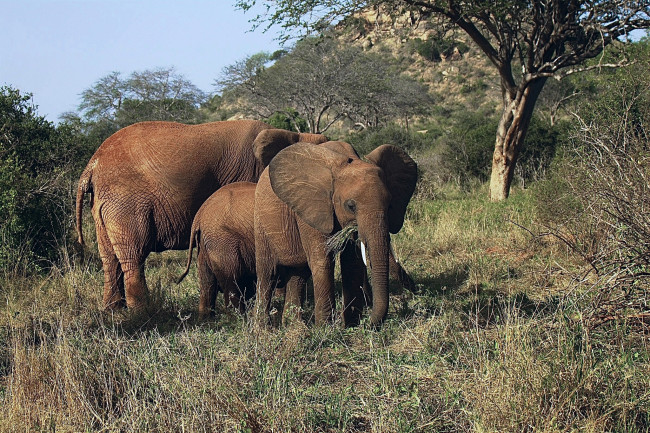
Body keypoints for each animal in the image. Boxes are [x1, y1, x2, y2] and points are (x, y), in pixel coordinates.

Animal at [76, 120, 326, 310]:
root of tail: (93, 165)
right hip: (125, 202)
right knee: (132, 255)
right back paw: (143, 312)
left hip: (104, 204)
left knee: (109, 257)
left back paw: (114, 310)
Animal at [253, 142, 416, 328]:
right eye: (351, 206)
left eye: (390, 205)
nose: (369, 323)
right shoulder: (313, 210)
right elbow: (322, 261)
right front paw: (325, 328)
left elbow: (352, 262)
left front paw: (351, 325)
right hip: (261, 224)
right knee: (267, 275)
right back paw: (263, 329)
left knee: (298, 276)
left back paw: (294, 326)